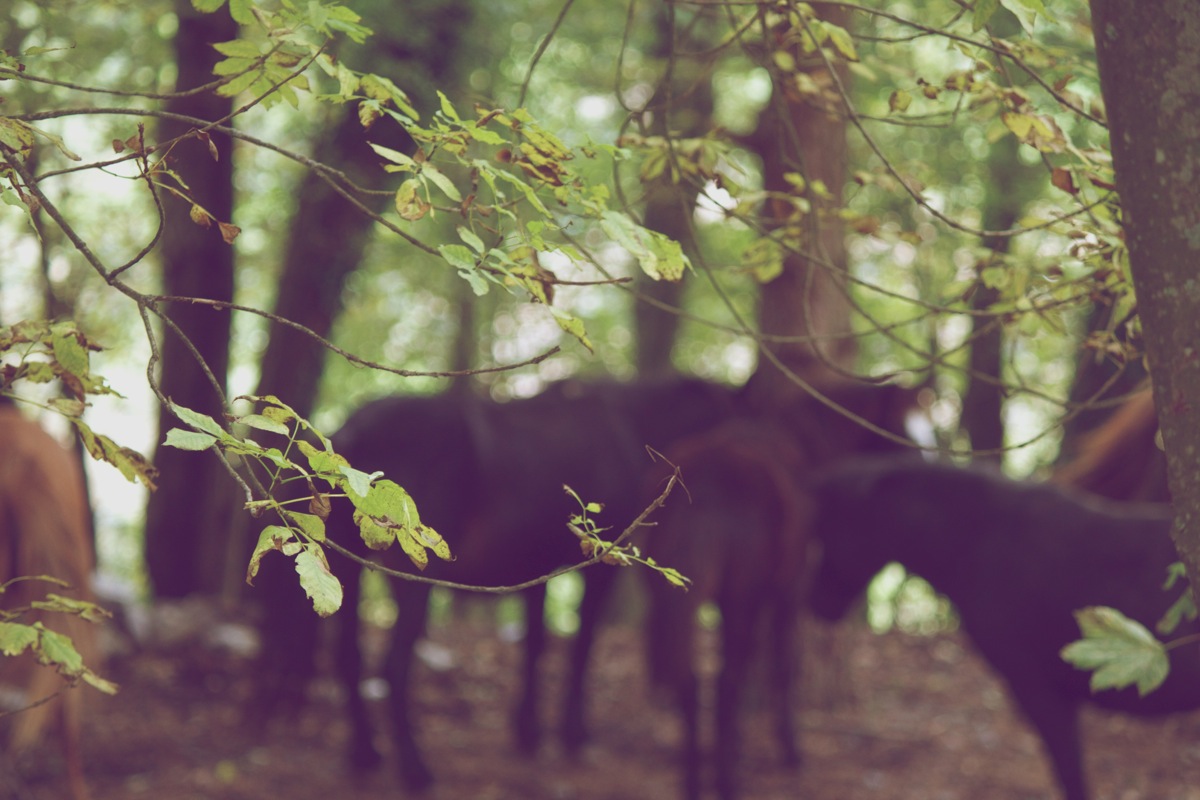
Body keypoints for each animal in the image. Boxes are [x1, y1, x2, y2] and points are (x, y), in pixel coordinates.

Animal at [315, 377, 740, 792]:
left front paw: (528, 731)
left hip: (347, 569)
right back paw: (415, 769)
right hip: (413, 578)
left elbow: (535, 643)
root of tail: (354, 428)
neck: (629, 423)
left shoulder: (537, 569)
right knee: (394, 666)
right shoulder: (600, 568)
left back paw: (365, 753)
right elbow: (582, 645)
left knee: (349, 658)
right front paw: (572, 733)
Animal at [643, 381, 917, 800]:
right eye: (900, 426)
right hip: (740, 600)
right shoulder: (791, 588)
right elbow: (784, 664)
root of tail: (704, 480)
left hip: (666, 593)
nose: (920, 458)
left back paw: (695, 780)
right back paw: (727, 780)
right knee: (726, 681)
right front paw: (790, 750)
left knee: (688, 681)